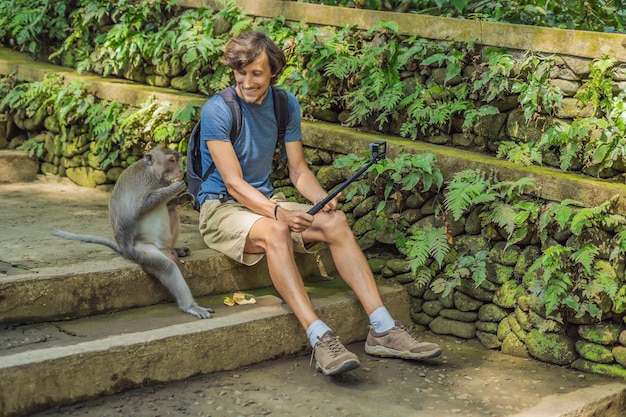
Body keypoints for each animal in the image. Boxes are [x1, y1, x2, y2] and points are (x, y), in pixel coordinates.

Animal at [52, 145, 212, 318]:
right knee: (167, 267)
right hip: (142, 253)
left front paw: (184, 198)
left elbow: (169, 204)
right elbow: (139, 208)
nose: (180, 170)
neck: (153, 173)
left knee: (171, 210)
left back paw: (176, 249)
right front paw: (175, 188)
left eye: (177, 159)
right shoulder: (144, 181)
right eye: (172, 160)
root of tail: (125, 249)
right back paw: (190, 306)